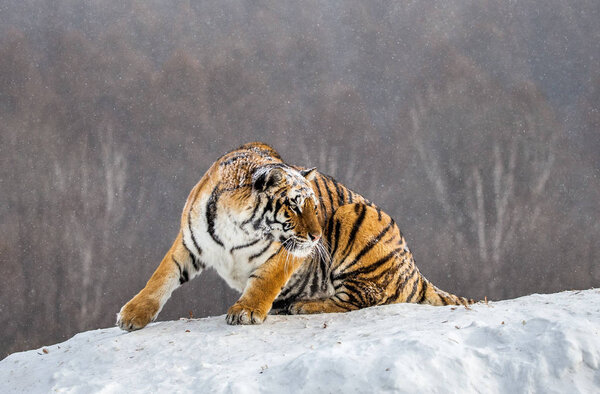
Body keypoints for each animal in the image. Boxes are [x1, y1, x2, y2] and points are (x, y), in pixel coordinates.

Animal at [117, 142, 474, 330]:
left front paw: (246, 311)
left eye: (315, 207)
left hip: (355, 217)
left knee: (361, 299)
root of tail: (415, 271)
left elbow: (264, 281)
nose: (317, 237)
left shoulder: (286, 253)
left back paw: (301, 306)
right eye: (295, 205)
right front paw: (133, 315)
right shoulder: (189, 242)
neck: (236, 226)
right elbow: (160, 278)